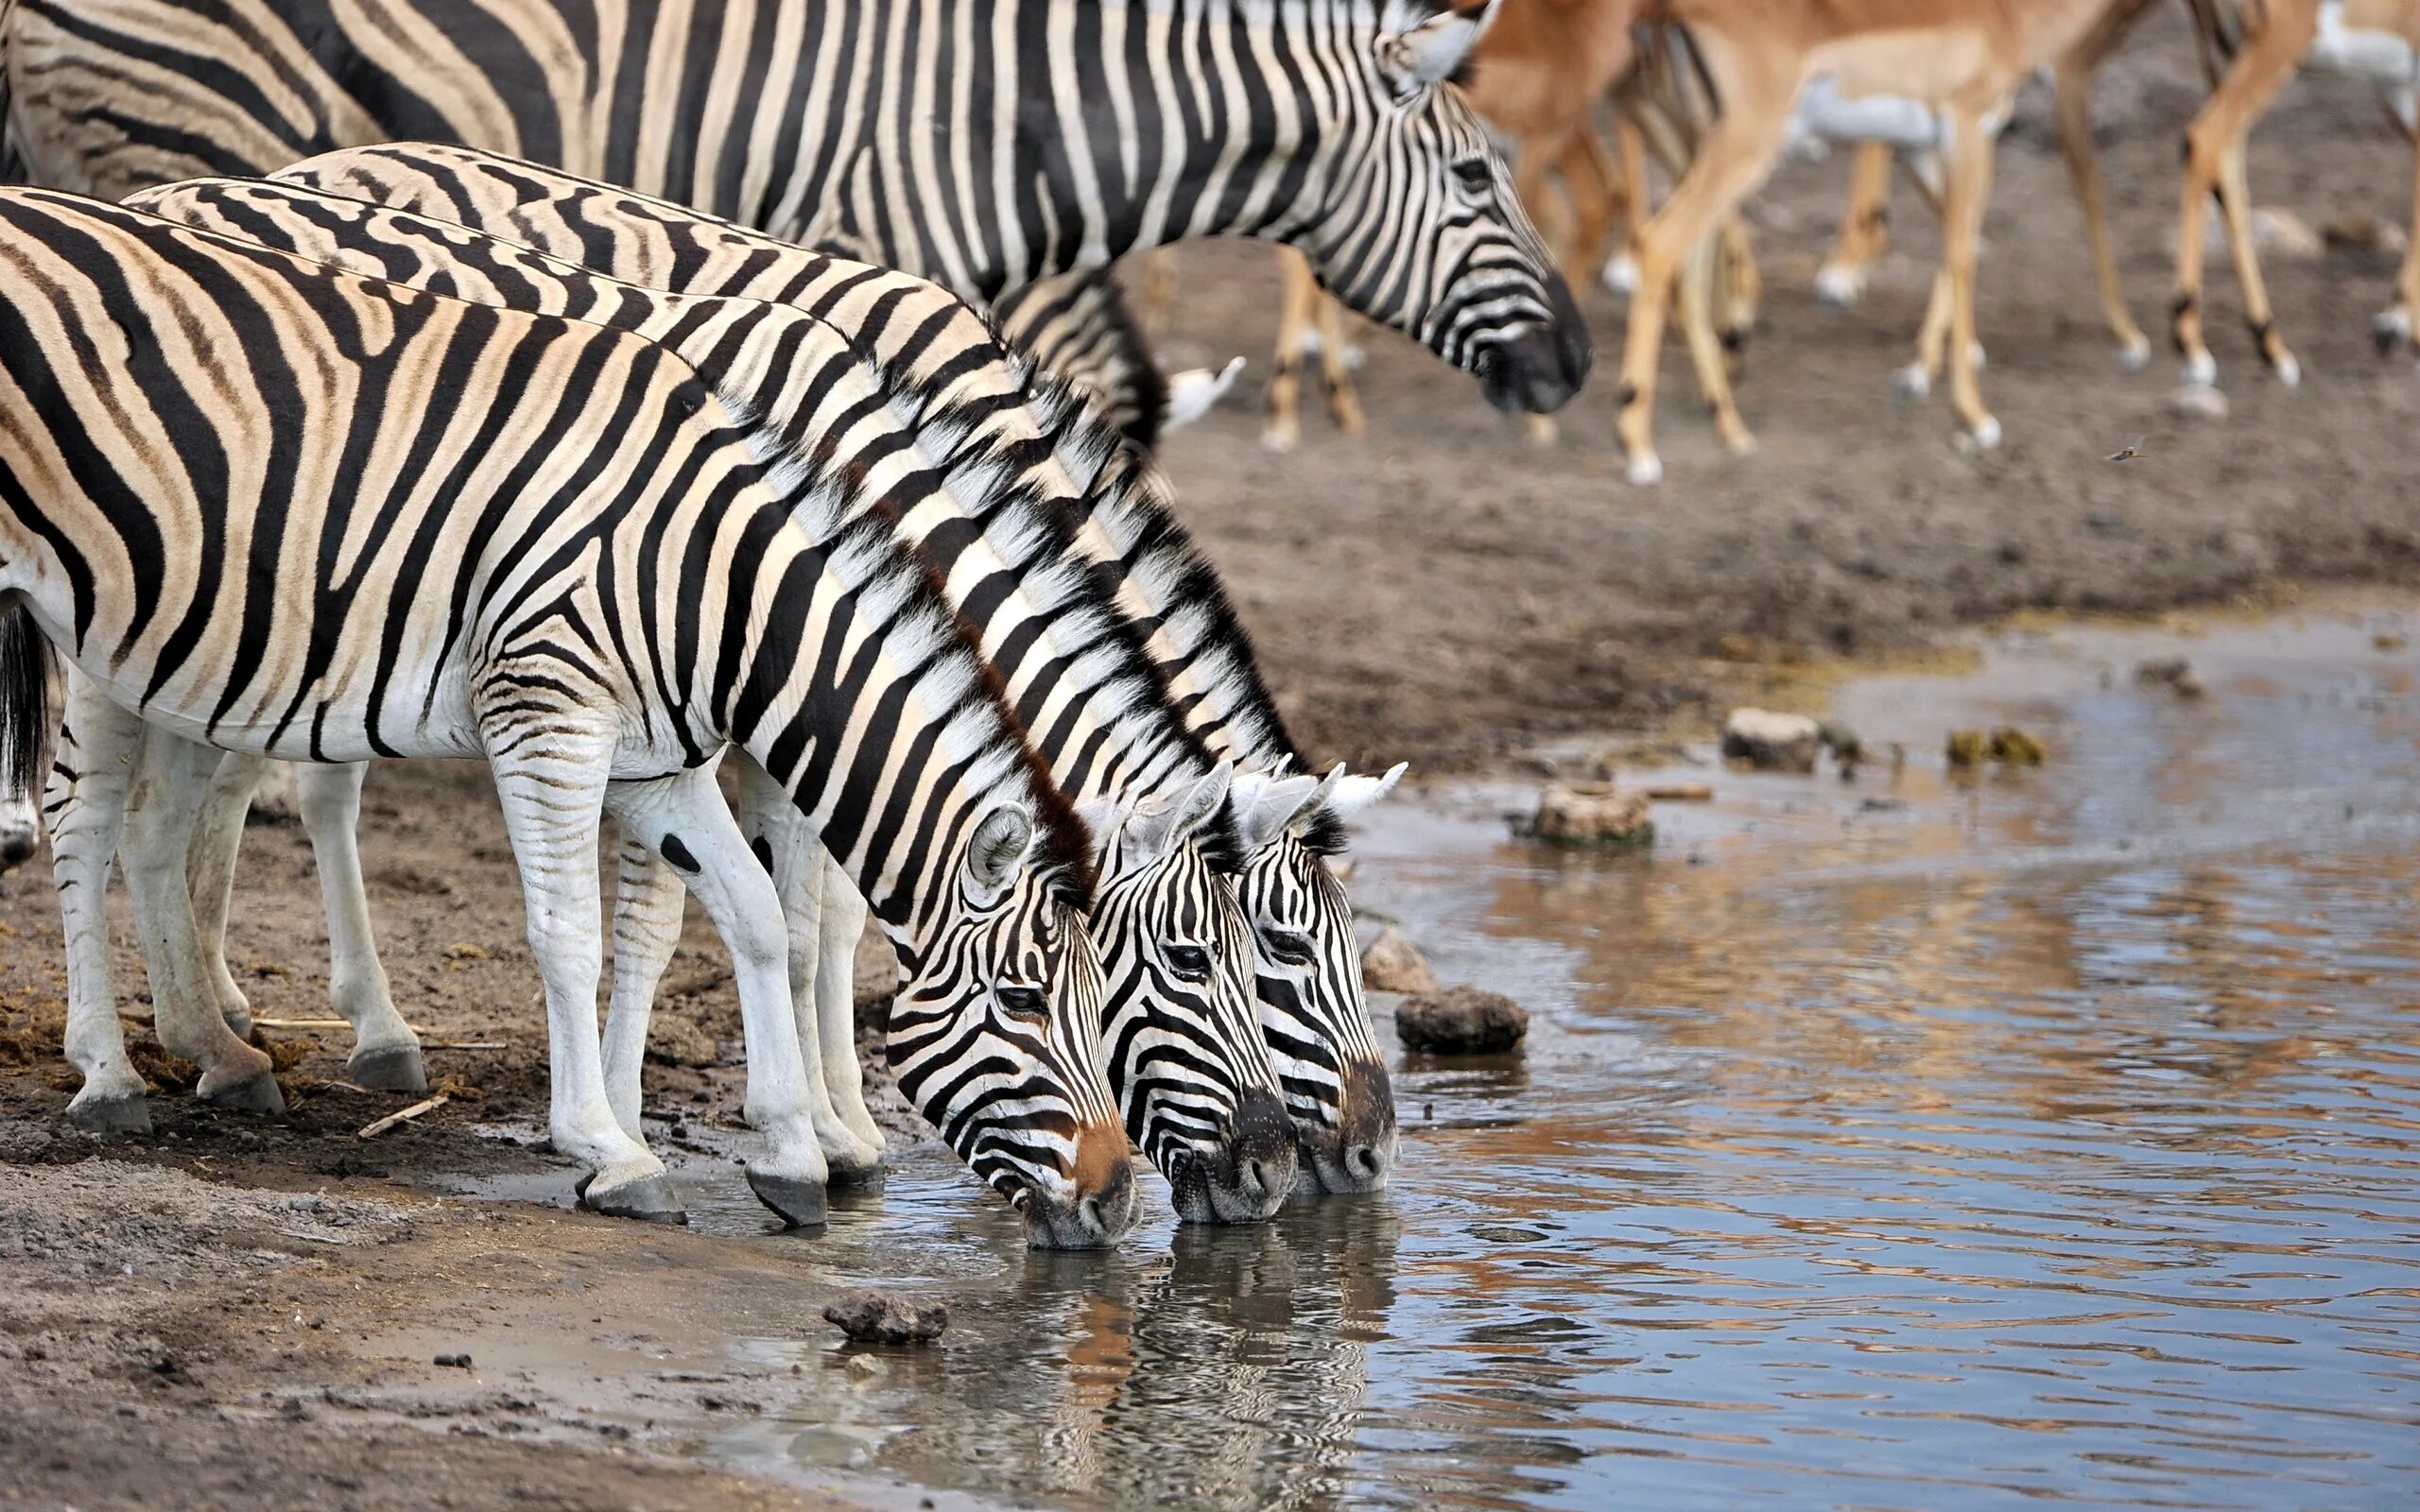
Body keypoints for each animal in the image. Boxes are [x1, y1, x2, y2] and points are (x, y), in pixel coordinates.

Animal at [70, 164, 1325, 1219]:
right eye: (1209, 961)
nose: (1281, 1176)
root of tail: (199, 186)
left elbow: (778, 911)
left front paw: (805, 1126)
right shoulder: (728, 698)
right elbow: (752, 916)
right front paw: (729, 1127)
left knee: (195, 797)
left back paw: (220, 1028)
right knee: (125, 809)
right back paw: (164, 1055)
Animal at [1626, 0, 2119, 484]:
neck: (2010, 15)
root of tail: (1670, 14)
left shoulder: (1923, 144)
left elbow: (1955, 237)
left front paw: (1921, 374)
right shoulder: (1968, 127)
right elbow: (1962, 252)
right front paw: (1974, 416)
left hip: (1701, 145)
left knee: (1688, 259)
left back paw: (1728, 426)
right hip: (1744, 148)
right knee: (1659, 242)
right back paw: (1639, 448)